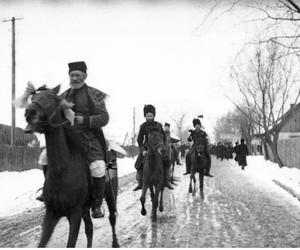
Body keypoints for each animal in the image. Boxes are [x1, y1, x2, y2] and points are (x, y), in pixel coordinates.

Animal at [24, 86, 118, 248]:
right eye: (33, 97)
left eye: (51, 97)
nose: (29, 113)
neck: (62, 171)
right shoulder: (52, 213)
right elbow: (42, 242)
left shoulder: (75, 214)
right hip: (85, 210)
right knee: (89, 228)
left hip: (110, 196)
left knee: (112, 219)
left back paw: (115, 242)